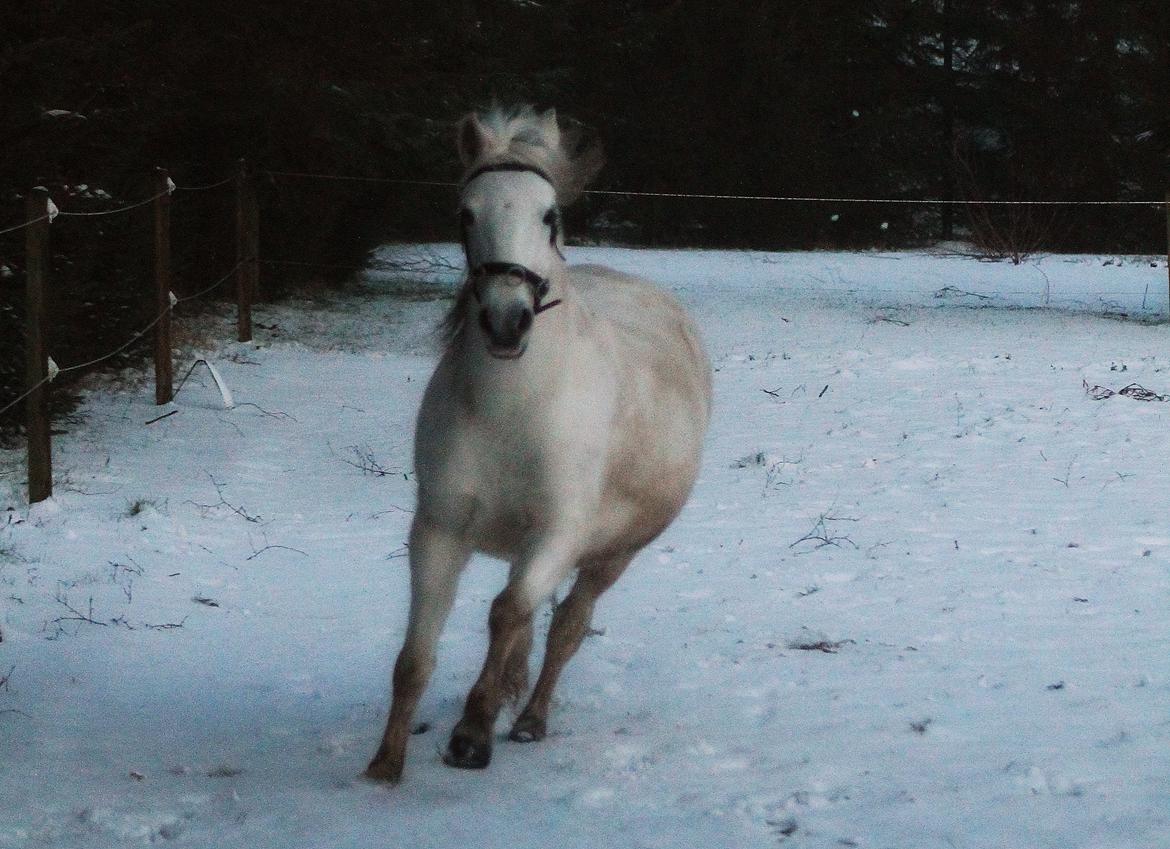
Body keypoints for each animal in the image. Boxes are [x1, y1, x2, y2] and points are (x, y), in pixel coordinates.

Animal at [365, 105, 712, 784]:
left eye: (549, 217)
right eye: (465, 213)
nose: (507, 321)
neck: (512, 411)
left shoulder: (558, 533)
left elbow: (508, 614)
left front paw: (471, 736)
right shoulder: (438, 530)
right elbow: (417, 653)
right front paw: (385, 765)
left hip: (612, 555)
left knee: (565, 626)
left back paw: (528, 720)